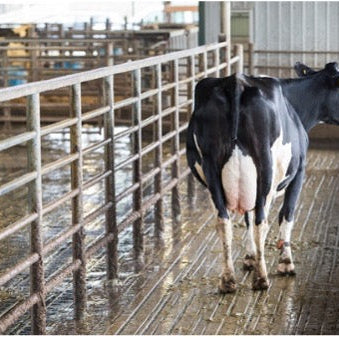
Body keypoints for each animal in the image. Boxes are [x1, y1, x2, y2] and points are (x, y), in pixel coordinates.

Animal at [187, 63, 339, 292]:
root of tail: (236, 82)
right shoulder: (299, 171)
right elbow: (286, 215)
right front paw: (285, 263)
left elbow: (248, 219)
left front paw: (250, 258)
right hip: (265, 165)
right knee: (261, 221)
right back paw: (261, 278)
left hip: (211, 167)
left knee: (224, 221)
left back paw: (228, 280)